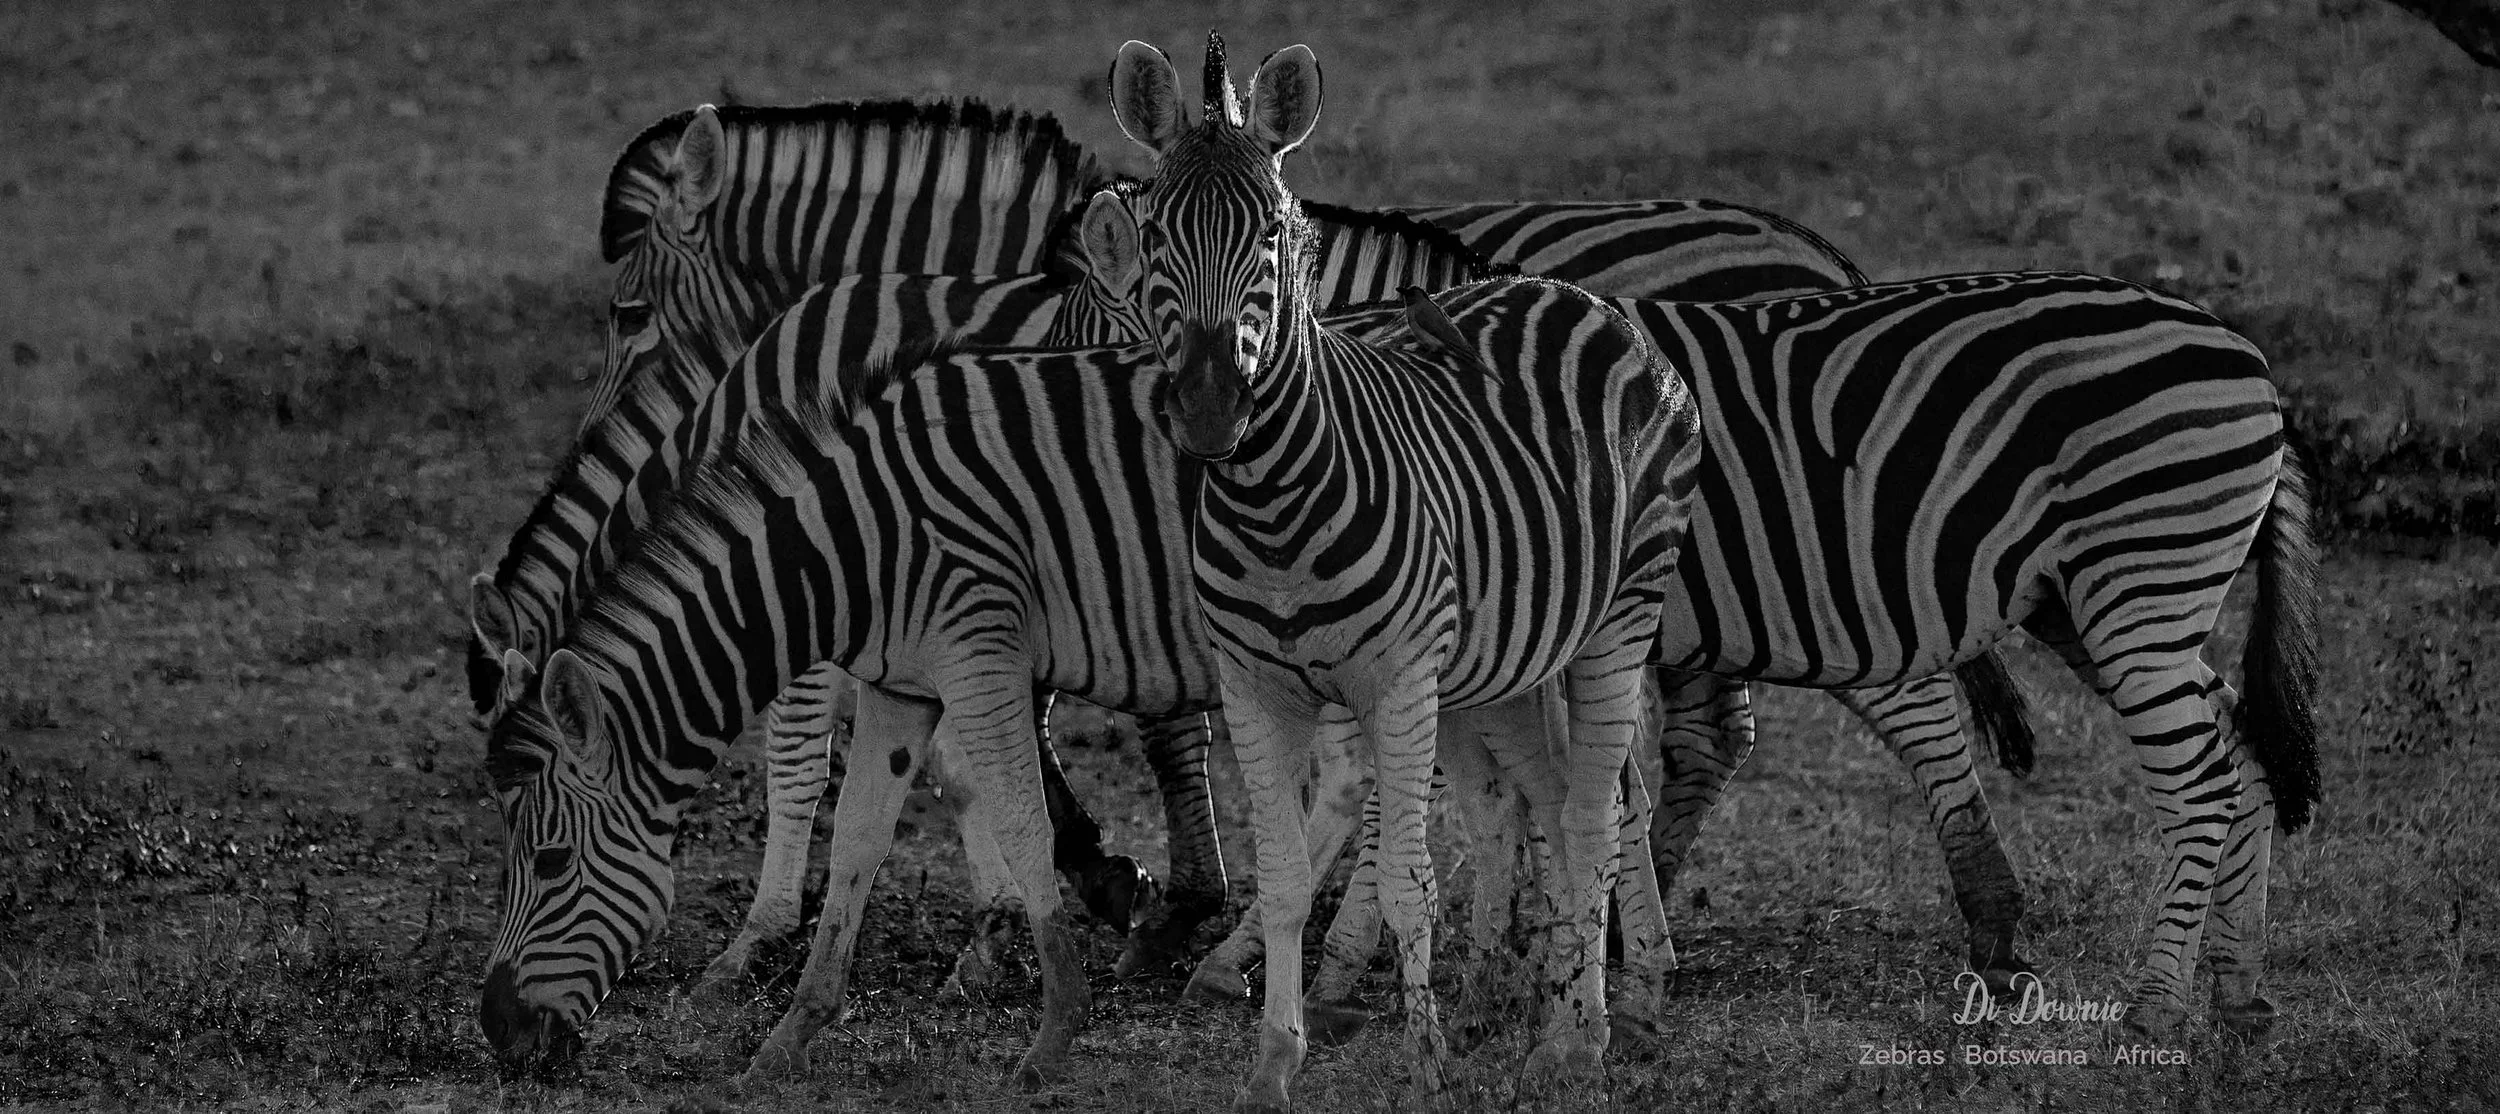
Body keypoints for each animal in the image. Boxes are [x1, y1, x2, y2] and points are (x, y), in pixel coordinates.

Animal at [600, 96, 2050, 1001]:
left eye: (621, 304)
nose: (662, 442)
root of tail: (1805, 244)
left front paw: (1136, 896)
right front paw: (1157, 895)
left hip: (1783, 556)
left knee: (1893, 700)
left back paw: (1975, 920)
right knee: (1704, 737)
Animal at [1108, 37, 1706, 1109]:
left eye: (1274, 236)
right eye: (1157, 233)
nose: (1212, 411)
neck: (1272, 506)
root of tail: (1578, 295)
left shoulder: (1396, 682)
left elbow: (1406, 880)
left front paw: (1426, 1068)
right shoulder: (1255, 688)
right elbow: (1286, 876)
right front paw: (1273, 1064)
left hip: (1623, 612)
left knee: (1595, 814)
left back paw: (1583, 1041)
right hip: (1509, 662)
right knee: (1560, 802)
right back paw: (1555, 1022)